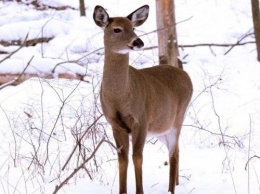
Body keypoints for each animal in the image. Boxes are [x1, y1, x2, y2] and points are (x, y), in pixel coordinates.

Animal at [93, 4, 193, 194]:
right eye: (117, 29)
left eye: (133, 28)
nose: (138, 42)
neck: (119, 96)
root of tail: (186, 75)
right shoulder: (115, 124)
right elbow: (122, 159)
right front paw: (122, 191)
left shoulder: (141, 119)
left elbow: (137, 157)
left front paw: (140, 191)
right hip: (161, 128)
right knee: (177, 150)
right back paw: (176, 184)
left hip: (177, 120)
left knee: (173, 153)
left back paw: (171, 189)